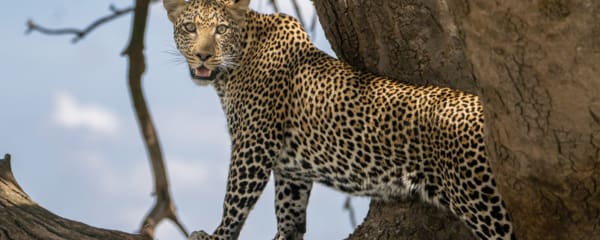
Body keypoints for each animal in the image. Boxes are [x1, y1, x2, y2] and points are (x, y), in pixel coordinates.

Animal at [163, 0, 516, 240]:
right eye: (190, 27)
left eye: (221, 30)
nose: (204, 55)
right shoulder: (291, 167)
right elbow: (288, 207)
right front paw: (284, 236)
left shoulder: (253, 144)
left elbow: (235, 200)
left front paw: (217, 235)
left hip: (486, 203)